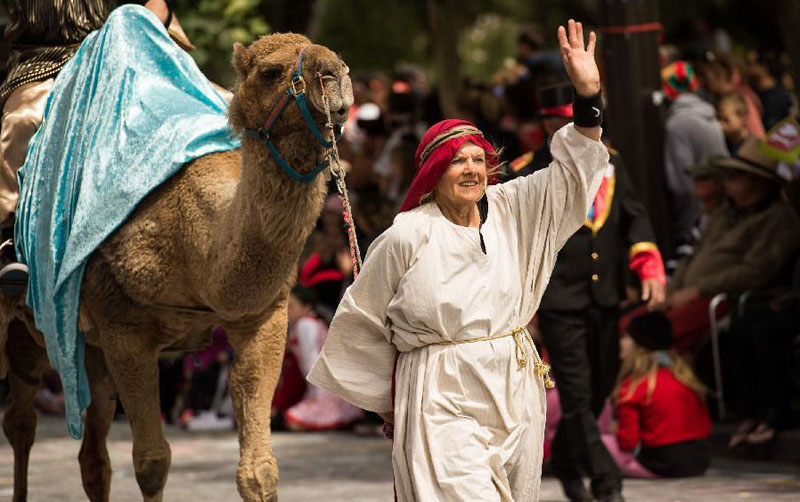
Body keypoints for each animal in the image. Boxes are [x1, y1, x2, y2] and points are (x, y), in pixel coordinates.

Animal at [0, 31, 354, 502]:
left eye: (336, 60)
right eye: (270, 71)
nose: (335, 75)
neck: (195, 246)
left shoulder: (261, 317)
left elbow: (259, 470)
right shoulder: (124, 328)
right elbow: (152, 463)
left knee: (84, 452)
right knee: (22, 422)